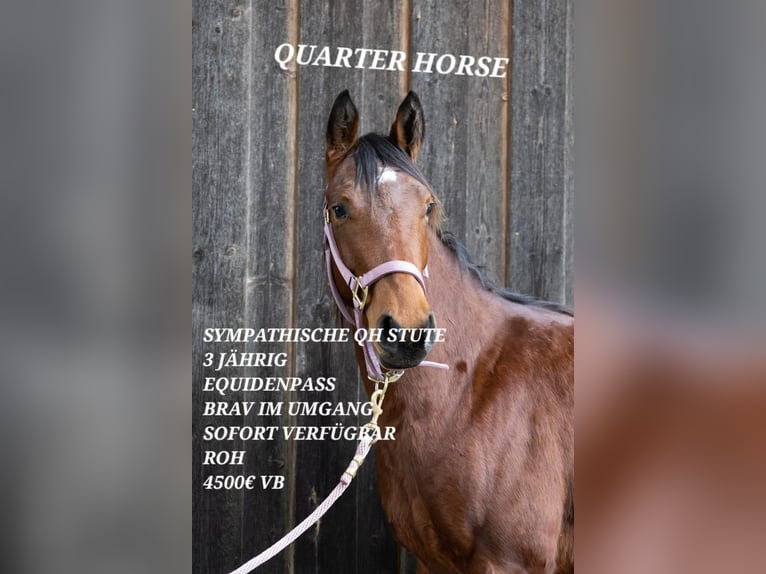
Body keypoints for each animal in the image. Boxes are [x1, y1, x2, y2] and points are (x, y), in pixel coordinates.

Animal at [323, 90, 574, 574]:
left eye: (427, 207)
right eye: (339, 209)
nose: (406, 333)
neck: (470, 389)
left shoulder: (509, 562)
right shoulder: (431, 560)